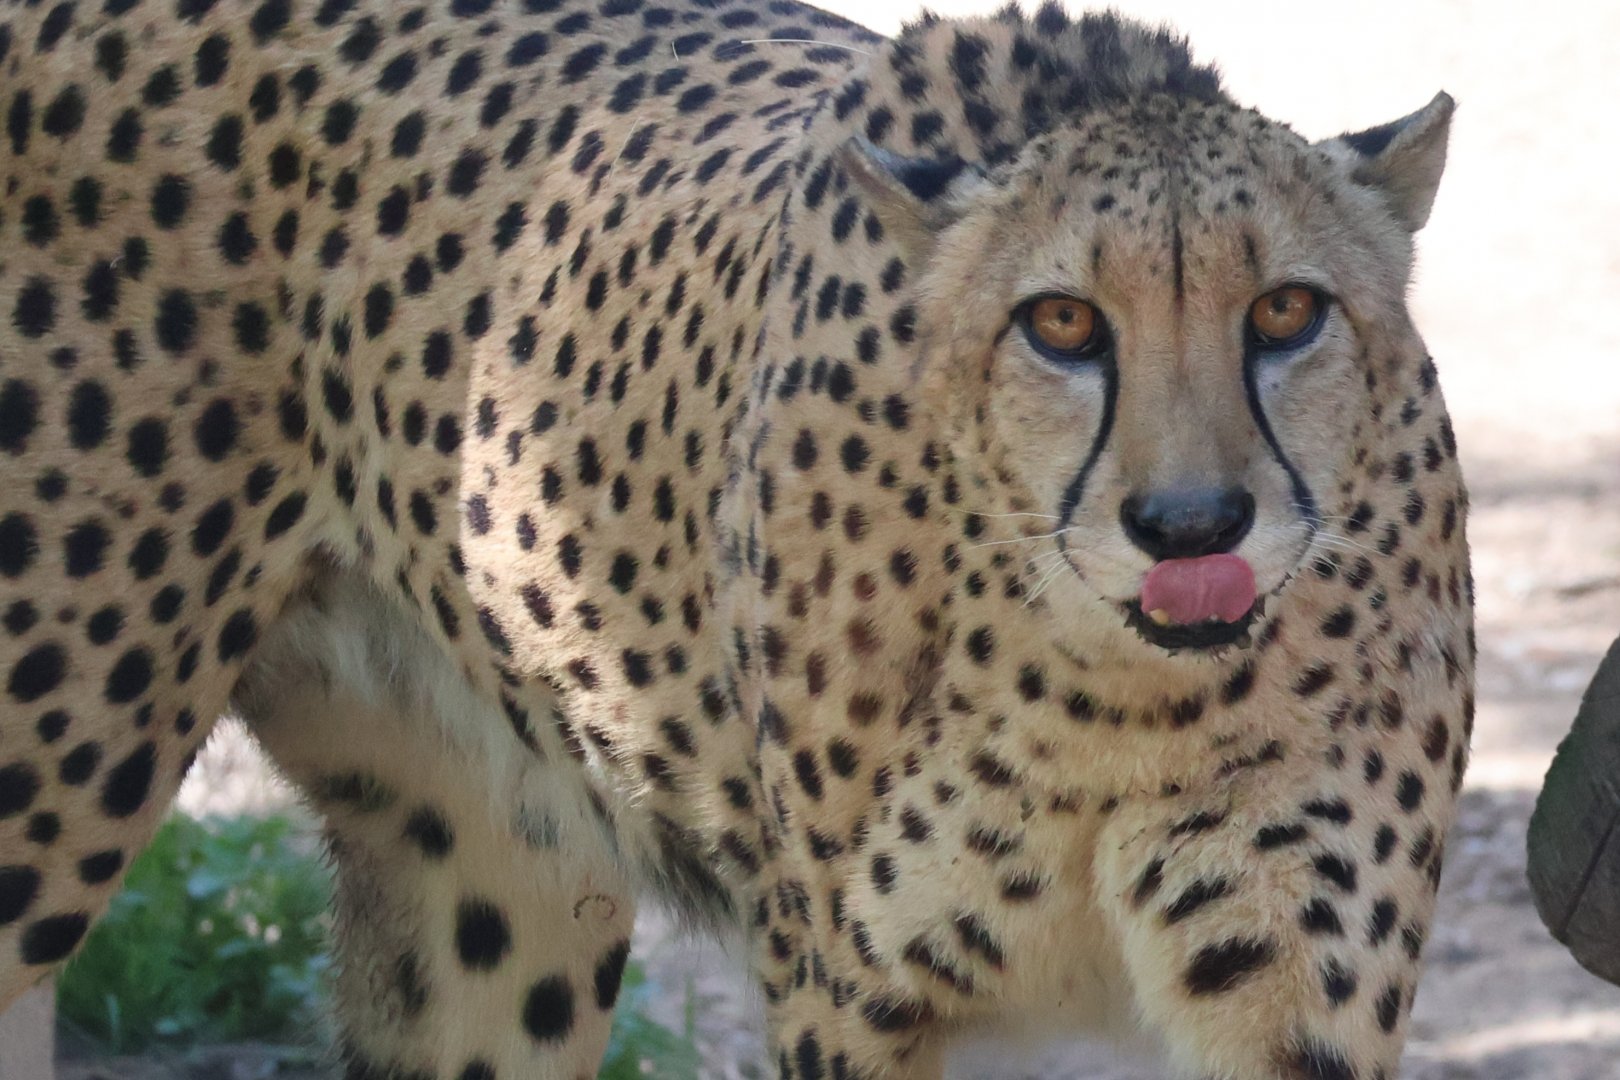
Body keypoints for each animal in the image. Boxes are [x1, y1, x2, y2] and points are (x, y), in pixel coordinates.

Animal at [0, 0, 1475, 1076]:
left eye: (1286, 311)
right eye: (1062, 324)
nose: (1190, 526)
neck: (1113, 702)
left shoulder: (1293, 1000)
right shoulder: (854, 1003)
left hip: (498, 879)